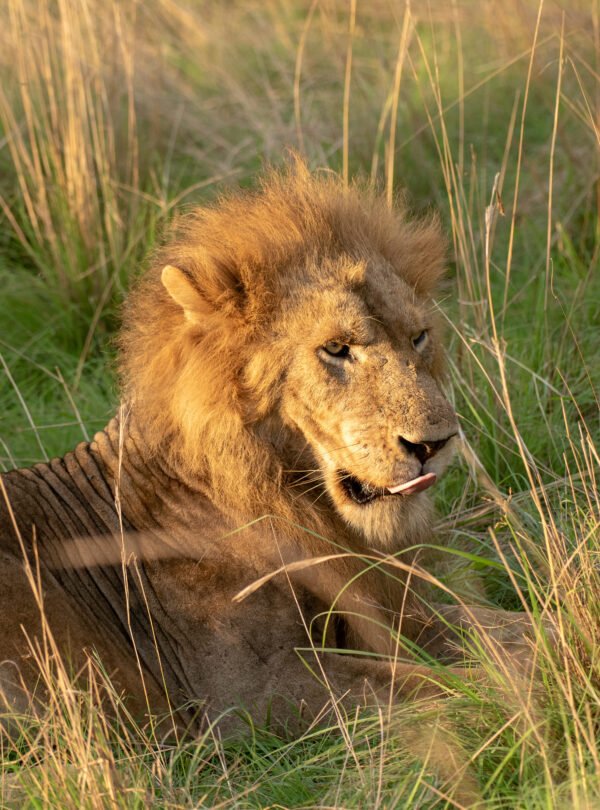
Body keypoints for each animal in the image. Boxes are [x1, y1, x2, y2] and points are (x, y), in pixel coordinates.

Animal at [0, 163, 533, 732]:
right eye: (336, 348)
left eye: (418, 338)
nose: (435, 444)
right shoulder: (244, 692)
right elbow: (435, 688)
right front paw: (529, 684)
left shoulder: (381, 610)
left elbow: (500, 627)